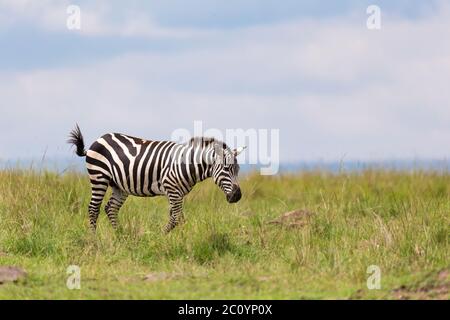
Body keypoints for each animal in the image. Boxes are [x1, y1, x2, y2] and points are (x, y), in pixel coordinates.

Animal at [67, 125, 244, 232]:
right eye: (226, 169)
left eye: (238, 170)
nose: (237, 196)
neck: (187, 163)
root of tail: (100, 138)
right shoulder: (172, 189)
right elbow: (176, 218)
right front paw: (168, 237)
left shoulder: (177, 193)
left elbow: (176, 217)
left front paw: (176, 238)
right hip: (99, 177)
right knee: (93, 208)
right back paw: (94, 240)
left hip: (119, 186)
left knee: (110, 208)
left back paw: (122, 236)